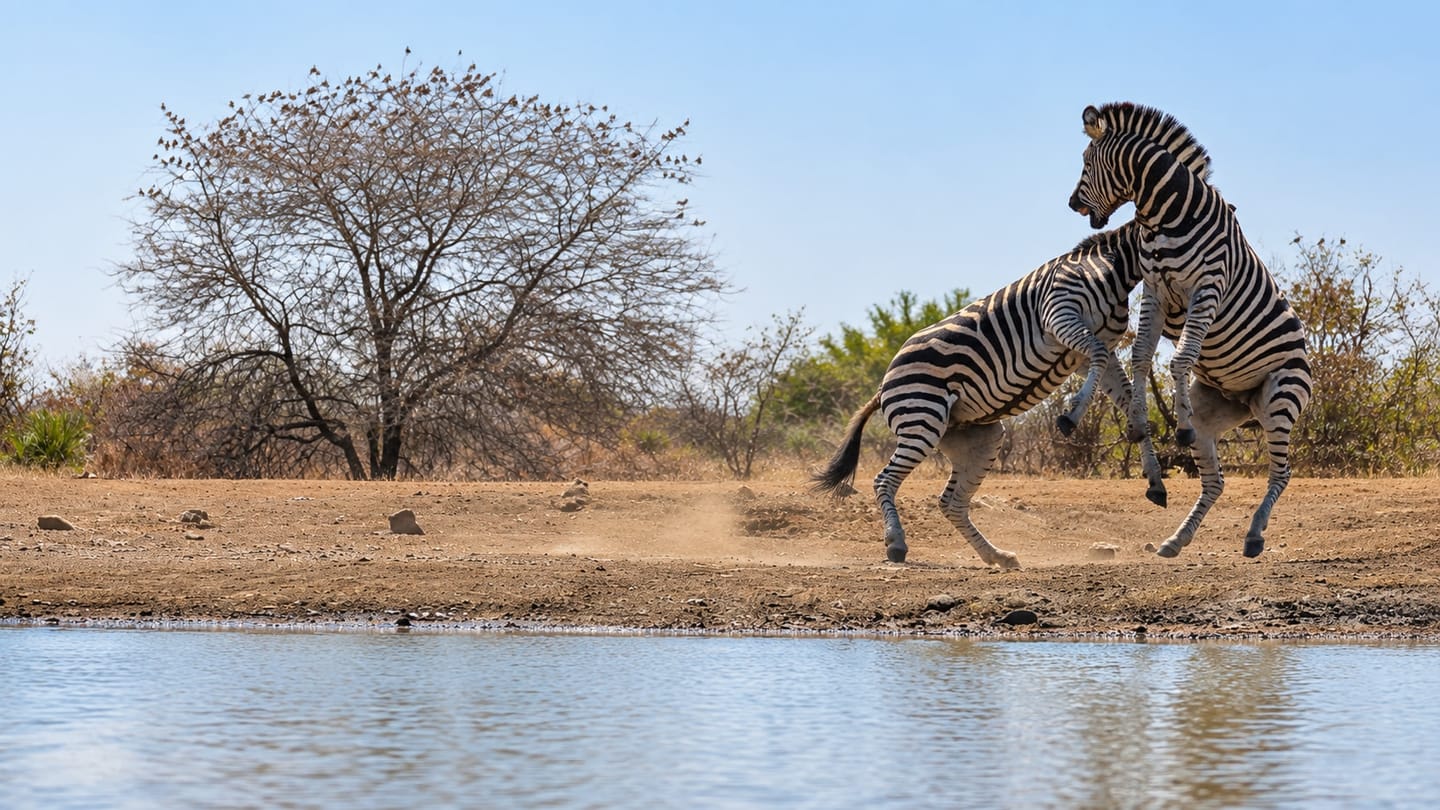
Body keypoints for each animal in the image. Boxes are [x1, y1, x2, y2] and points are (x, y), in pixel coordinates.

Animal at [812, 222, 1166, 568]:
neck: (1112, 269)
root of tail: (882, 385)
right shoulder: (1058, 315)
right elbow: (1098, 356)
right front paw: (1072, 415)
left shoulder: (1086, 352)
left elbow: (1126, 396)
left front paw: (1153, 474)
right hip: (922, 419)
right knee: (884, 480)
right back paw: (897, 544)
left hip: (977, 437)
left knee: (951, 502)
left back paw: (996, 555)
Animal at [1067, 101, 1311, 559]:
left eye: (1087, 163)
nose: (1072, 203)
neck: (1165, 214)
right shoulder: (1155, 290)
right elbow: (1141, 358)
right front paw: (1137, 425)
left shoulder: (1207, 287)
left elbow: (1181, 357)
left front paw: (1174, 424)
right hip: (1216, 413)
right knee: (1215, 481)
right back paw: (1177, 539)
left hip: (1279, 400)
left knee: (1282, 473)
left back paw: (1255, 534)